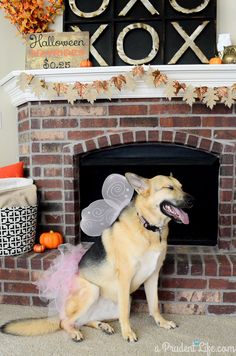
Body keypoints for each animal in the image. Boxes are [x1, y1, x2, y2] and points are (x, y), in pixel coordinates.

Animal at [0, 173, 193, 342]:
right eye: (169, 187)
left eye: (181, 187)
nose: (192, 199)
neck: (148, 227)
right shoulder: (125, 278)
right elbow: (125, 314)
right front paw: (128, 333)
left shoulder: (153, 276)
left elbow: (154, 304)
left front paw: (162, 322)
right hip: (92, 290)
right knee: (65, 322)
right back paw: (75, 333)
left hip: (116, 304)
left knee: (83, 321)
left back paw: (102, 325)